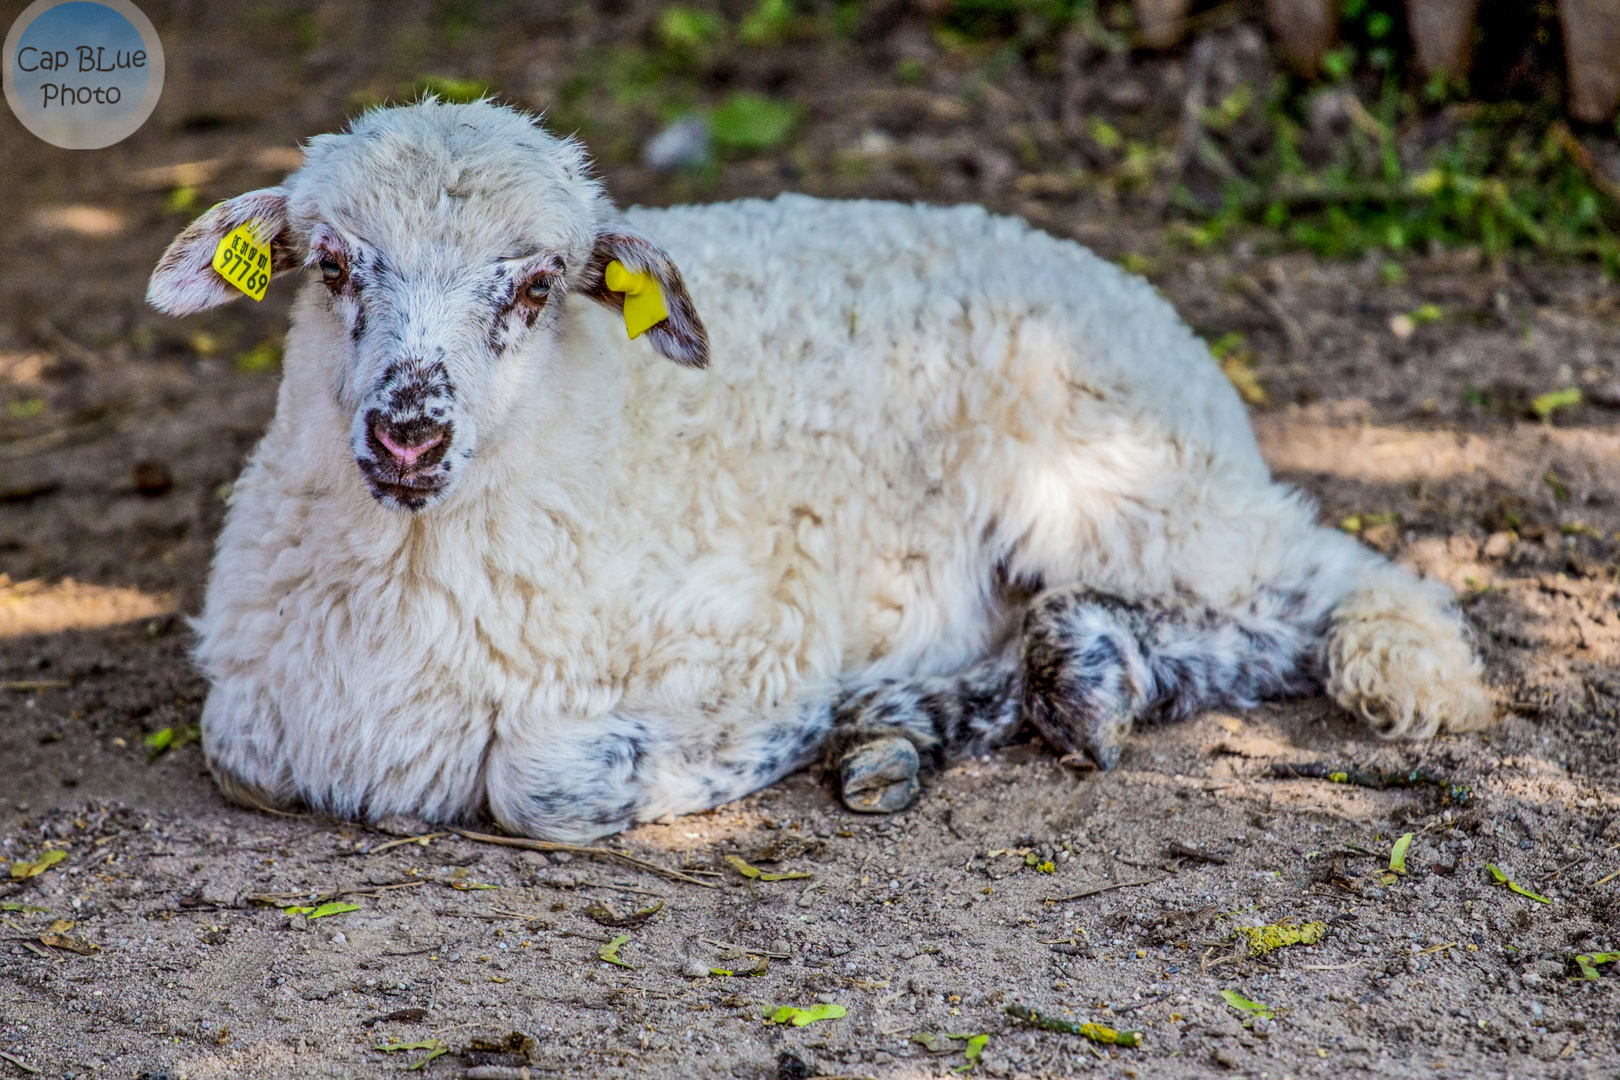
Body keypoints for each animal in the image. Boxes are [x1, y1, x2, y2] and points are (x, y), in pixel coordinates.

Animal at [145, 99, 1483, 841]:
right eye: (330, 266)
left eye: (534, 288)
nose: (408, 431)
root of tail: (1136, 297)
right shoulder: (255, 712)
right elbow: (235, 748)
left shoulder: (758, 620)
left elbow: (545, 778)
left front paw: (773, 738)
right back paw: (958, 710)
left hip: (1114, 476)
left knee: (1322, 590)